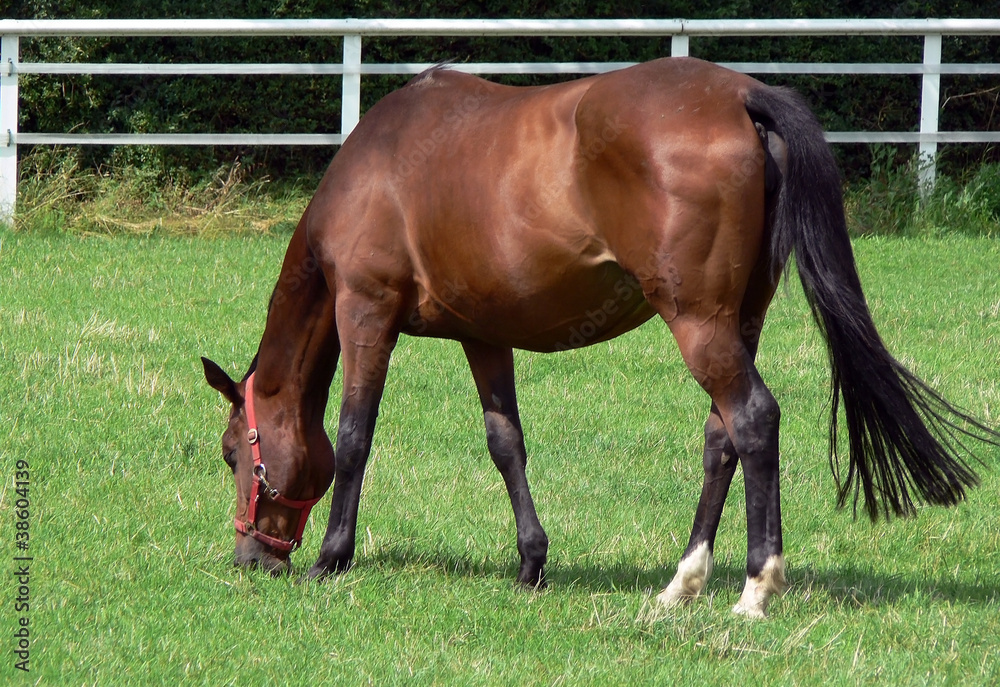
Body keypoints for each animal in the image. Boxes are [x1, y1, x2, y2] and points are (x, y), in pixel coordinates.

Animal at [202, 57, 998, 618]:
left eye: (234, 453)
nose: (251, 560)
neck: (380, 164)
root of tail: (740, 96)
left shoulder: (366, 313)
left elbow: (354, 436)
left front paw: (332, 557)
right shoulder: (484, 336)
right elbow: (506, 443)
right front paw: (531, 563)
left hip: (697, 319)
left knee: (753, 419)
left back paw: (755, 586)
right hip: (738, 319)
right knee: (722, 435)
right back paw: (684, 581)